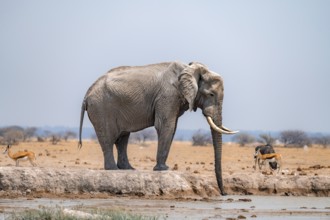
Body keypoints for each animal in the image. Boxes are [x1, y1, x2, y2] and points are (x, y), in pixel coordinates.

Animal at [78, 61, 238, 195]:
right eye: (211, 94)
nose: (224, 194)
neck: (189, 68)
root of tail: (86, 95)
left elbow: (172, 127)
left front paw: (163, 168)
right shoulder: (168, 95)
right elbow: (165, 125)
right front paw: (163, 169)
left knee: (123, 137)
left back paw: (128, 168)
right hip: (101, 108)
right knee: (108, 138)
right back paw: (113, 169)